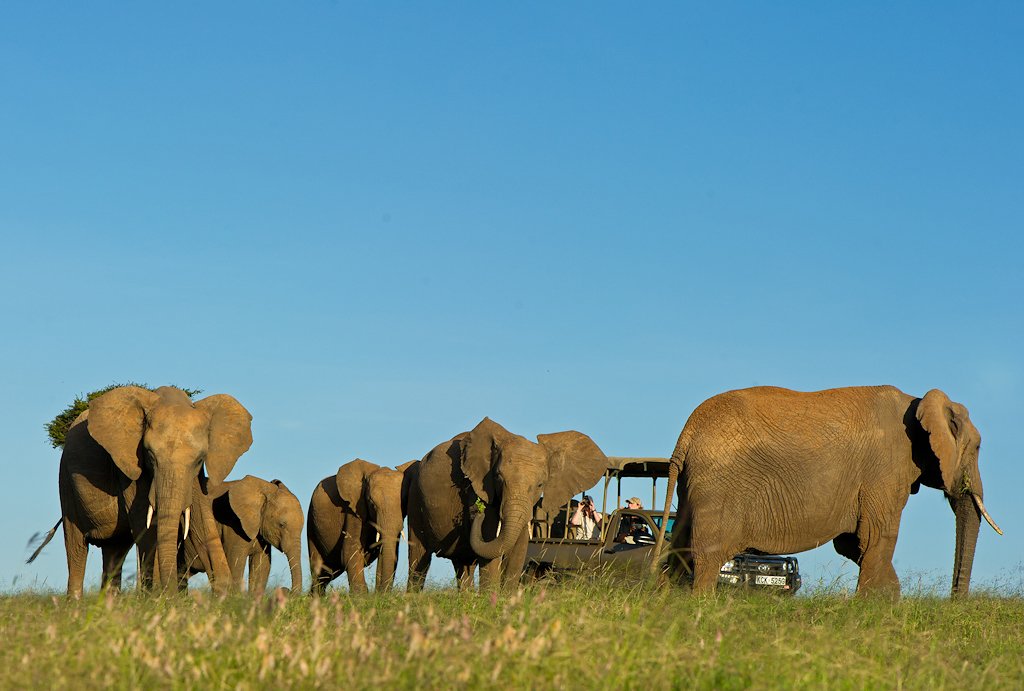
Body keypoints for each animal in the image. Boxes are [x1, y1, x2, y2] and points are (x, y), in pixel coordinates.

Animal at [45, 385, 253, 596]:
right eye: (150, 455)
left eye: (200, 459)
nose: (173, 594)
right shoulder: (129, 466)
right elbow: (145, 524)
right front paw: (157, 598)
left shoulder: (195, 477)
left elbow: (201, 521)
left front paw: (226, 597)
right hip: (66, 481)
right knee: (76, 546)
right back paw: (75, 600)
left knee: (115, 550)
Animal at [308, 459, 418, 594]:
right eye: (371, 503)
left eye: (404, 501)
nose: (381, 594)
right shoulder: (353, 510)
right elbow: (350, 551)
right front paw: (362, 596)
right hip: (311, 522)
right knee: (319, 569)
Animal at [407, 417, 608, 591]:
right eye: (498, 478)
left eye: (540, 485)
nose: (475, 512)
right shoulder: (477, 487)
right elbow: (490, 545)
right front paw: (490, 600)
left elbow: (518, 549)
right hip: (415, 495)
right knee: (419, 558)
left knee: (462, 563)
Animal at [653, 386, 1002, 597]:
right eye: (978, 448)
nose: (955, 602)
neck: (919, 401)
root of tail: (687, 433)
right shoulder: (886, 469)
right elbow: (876, 537)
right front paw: (870, 611)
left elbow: (853, 543)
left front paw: (889, 604)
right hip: (720, 485)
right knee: (707, 557)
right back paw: (702, 606)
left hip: (691, 485)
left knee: (680, 549)